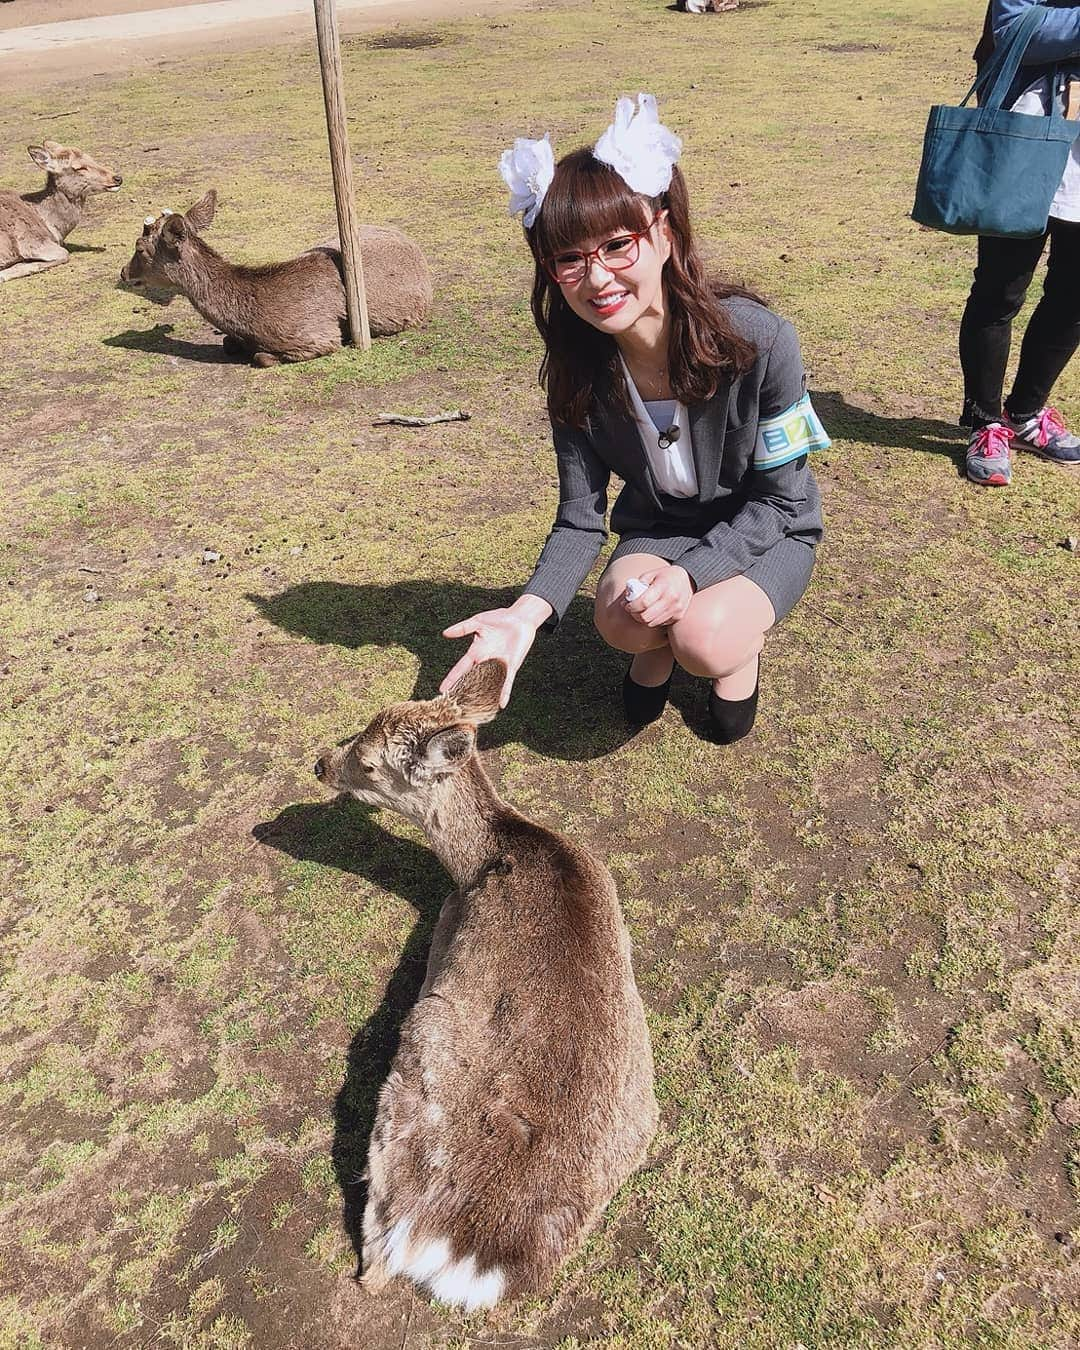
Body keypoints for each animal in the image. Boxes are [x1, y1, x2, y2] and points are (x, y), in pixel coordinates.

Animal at [0, 141, 122, 283]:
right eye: (79, 168)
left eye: (92, 159)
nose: (117, 178)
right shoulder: (31, 241)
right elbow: (64, 254)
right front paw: (5, 273)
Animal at [120, 190, 432, 367]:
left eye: (139, 248)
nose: (123, 272)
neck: (255, 323)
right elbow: (229, 343)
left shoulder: (319, 336)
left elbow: (262, 358)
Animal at [311, 658, 658, 1312]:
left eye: (366, 761)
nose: (319, 762)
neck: (482, 861)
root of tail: (474, 1253)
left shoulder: (447, 921)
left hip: (408, 1087)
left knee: (374, 1260)